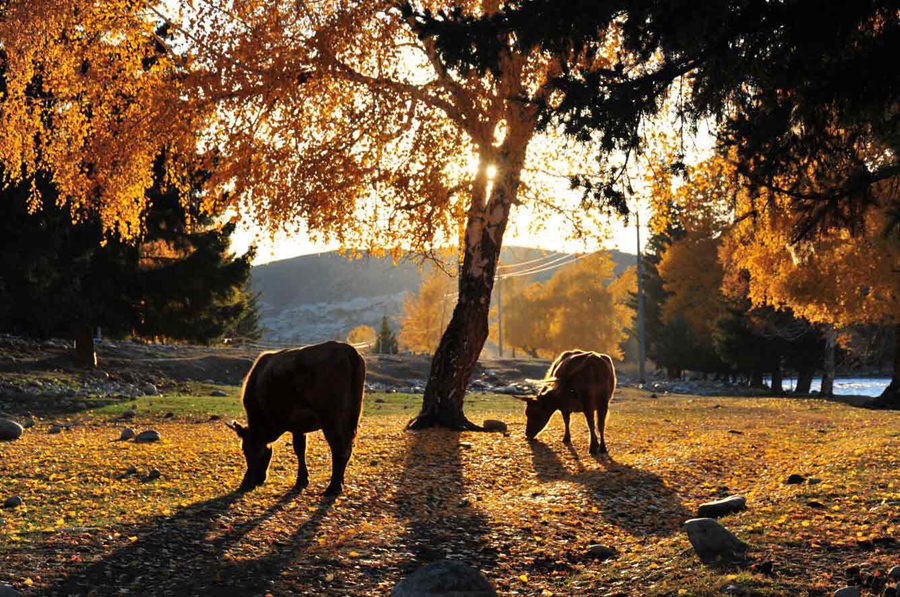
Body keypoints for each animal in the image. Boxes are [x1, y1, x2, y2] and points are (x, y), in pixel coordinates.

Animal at [229, 340, 366, 494]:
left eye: (245, 449)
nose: (254, 481)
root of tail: (346, 348)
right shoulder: (299, 426)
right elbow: (300, 449)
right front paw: (302, 479)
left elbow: (296, 449)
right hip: (350, 416)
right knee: (347, 447)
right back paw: (340, 483)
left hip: (331, 419)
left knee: (339, 448)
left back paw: (333, 487)